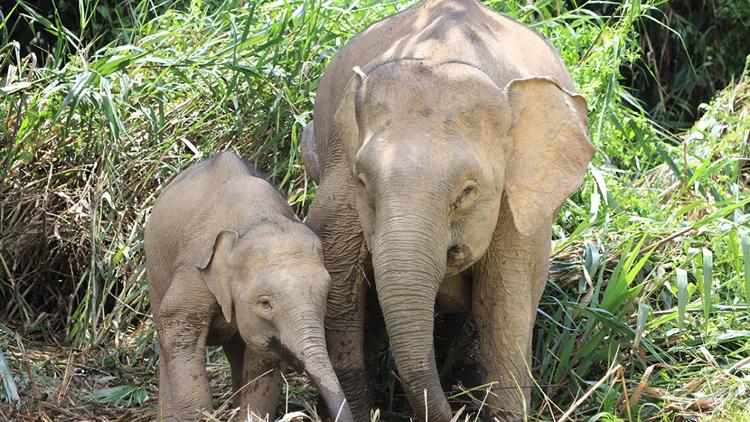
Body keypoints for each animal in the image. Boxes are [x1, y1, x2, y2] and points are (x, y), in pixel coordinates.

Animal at [145, 152, 354, 422]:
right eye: (265, 303)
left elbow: (263, 362)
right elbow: (178, 332)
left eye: (326, 297)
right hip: (155, 272)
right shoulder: (192, 269)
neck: (256, 218)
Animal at [302, 1, 596, 420]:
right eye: (363, 182)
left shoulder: (520, 204)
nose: (458, 410)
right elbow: (341, 281)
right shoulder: (340, 168)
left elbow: (503, 306)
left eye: (467, 192)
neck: (441, 55)